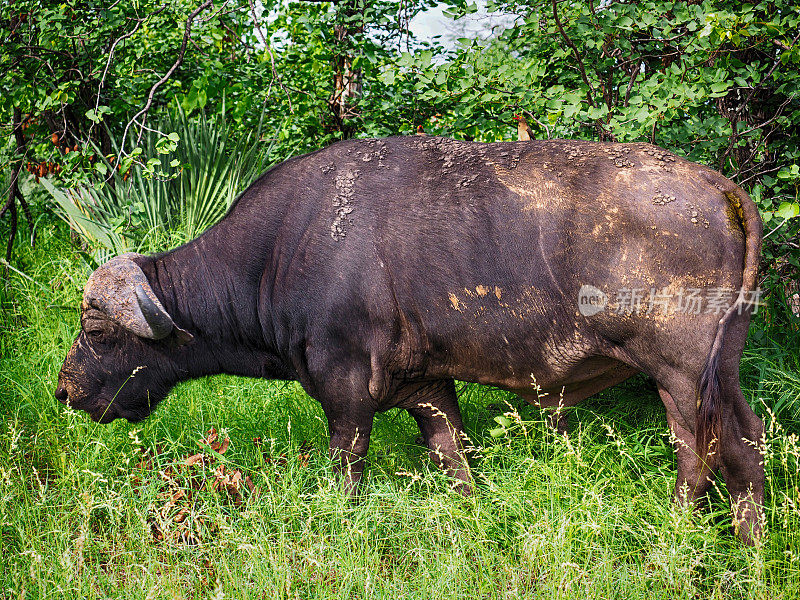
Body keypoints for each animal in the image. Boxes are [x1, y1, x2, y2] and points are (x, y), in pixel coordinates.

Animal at [53, 136, 764, 544]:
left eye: (96, 329)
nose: (64, 389)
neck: (279, 249)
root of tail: (722, 188)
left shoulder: (345, 394)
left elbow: (346, 472)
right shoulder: (427, 386)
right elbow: (454, 459)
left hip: (681, 377)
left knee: (707, 451)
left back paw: (717, 536)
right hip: (717, 373)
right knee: (737, 442)